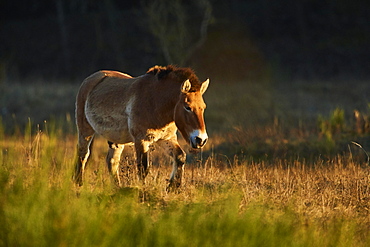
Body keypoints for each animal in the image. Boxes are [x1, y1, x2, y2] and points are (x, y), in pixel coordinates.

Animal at [72, 64, 210, 188]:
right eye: (187, 107)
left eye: (203, 107)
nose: (201, 140)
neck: (155, 102)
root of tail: (90, 79)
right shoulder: (141, 140)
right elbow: (143, 169)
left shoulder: (166, 139)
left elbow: (180, 157)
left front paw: (173, 188)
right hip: (85, 129)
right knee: (83, 153)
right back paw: (79, 185)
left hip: (116, 140)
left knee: (112, 161)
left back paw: (117, 188)